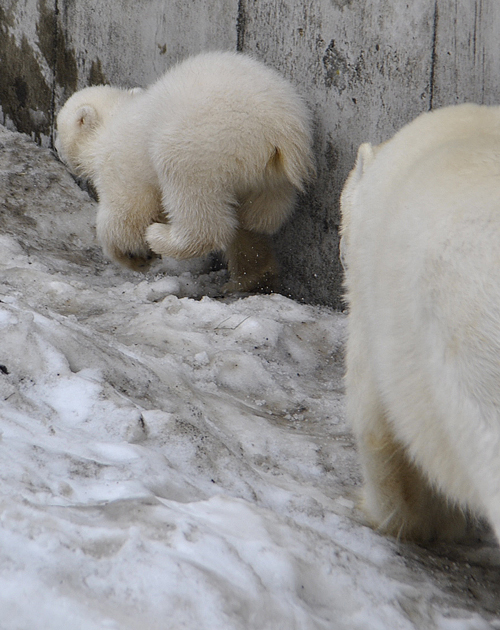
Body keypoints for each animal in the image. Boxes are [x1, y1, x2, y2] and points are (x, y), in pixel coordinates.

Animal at [54, 51, 312, 294]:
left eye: (57, 127)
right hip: (271, 178)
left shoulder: (120, 165)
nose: (54, 146)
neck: (113, 119)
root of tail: (280, 132)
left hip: (203, 147)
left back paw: (162, 237)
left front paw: (133, 256)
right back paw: (250, 279)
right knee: (255, 221)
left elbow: (126, 216)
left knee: (195, 202)